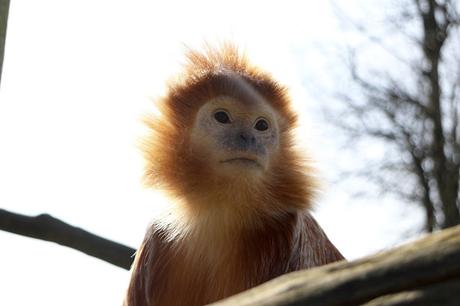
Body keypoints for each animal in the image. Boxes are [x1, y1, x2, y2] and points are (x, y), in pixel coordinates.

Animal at [124, 43, 344, 306]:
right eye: (222, 117)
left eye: (261, 125)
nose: (247, 138)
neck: (221, 209)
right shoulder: (156, 235)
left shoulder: (287, 228)